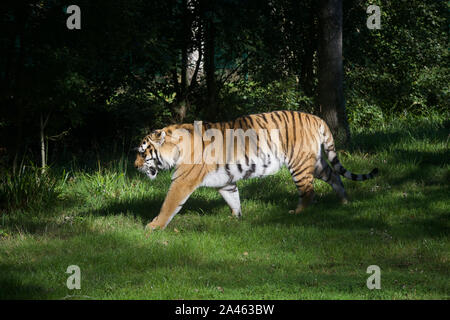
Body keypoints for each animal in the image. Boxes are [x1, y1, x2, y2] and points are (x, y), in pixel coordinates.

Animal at [135, 110, 378, 230]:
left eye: (143, 153)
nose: (135, 166)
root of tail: (316, 117)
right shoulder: (225, 180)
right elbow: (233, 198)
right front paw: (236, 218)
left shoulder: (182, 181)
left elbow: (169, 205)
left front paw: (153, 226)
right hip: (315, 162)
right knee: (335, 175)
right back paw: (344, 202)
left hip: (299, 164)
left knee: (309, 191)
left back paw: (298, 212)